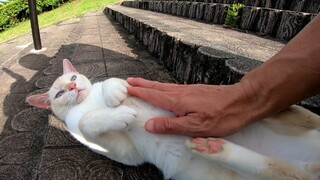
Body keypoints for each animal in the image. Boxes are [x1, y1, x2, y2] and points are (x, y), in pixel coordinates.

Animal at [26, 59, 320, 180]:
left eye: (74, 77)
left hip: (290, 119)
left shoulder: (127, 84)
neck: (89, 103)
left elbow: (114, 82)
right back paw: (212, 147)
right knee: (287, 171)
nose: (74, 88)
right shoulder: (125, 154)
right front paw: (120, 114)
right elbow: (88, 122)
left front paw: (115, 94)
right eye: (60, 93)